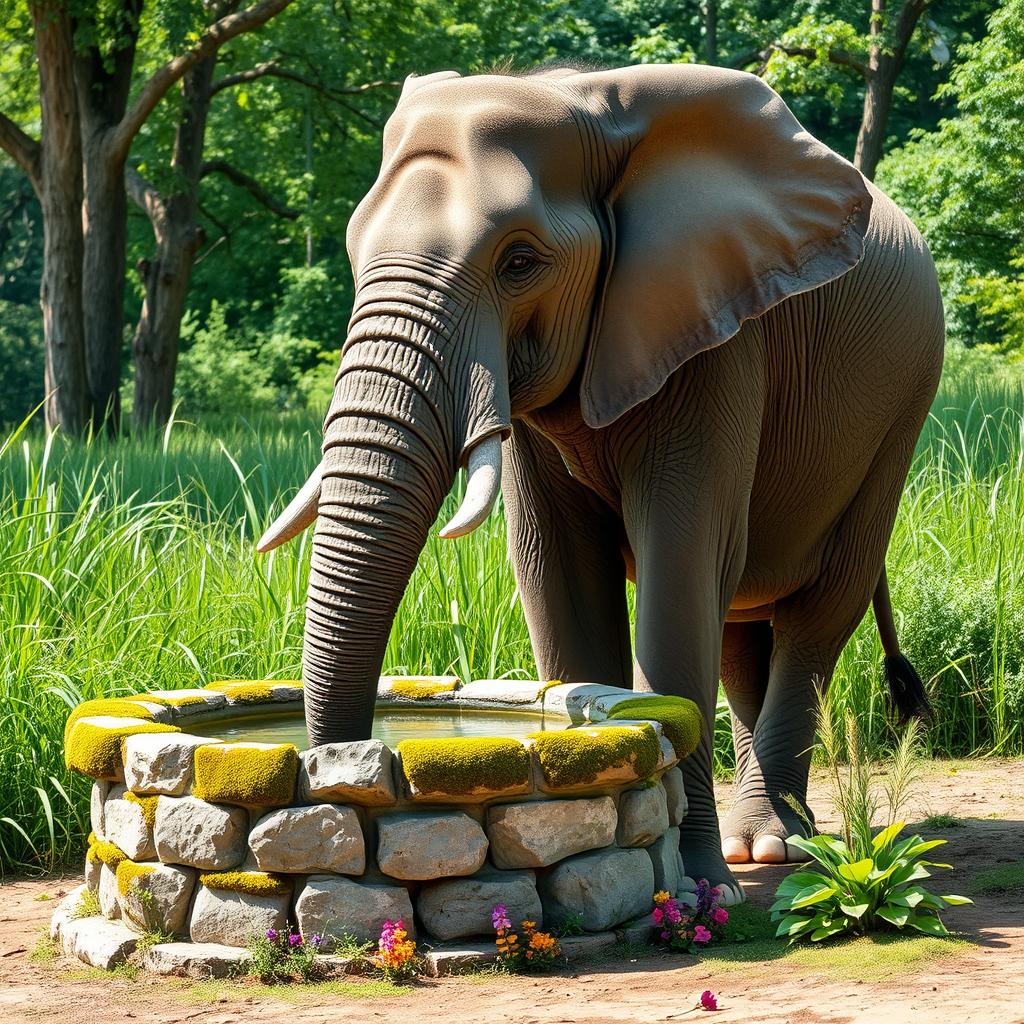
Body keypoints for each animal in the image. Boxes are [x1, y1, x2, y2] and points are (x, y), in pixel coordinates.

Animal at [262, 61, 942, 897]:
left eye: (520, 261)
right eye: (355, 252)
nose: (340, 767)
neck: (583, 103)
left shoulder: (715, 338)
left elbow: (678, 568)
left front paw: (698, 887)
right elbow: (558, 573)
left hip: (901, 411)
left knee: (817, 616)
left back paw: (779, 848)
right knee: (740, 629)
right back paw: (763, 840)